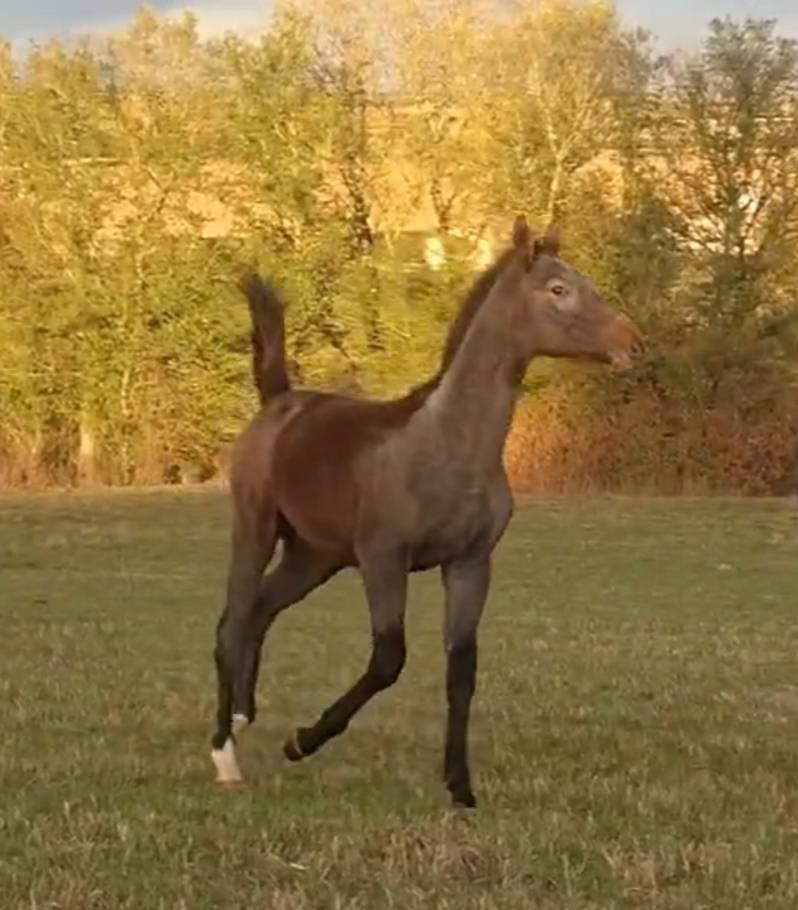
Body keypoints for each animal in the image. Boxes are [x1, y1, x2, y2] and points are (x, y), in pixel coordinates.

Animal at [210, 215, 644, 807]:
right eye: (559, 289)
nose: (631, 343)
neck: (450, 446)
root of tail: (279, 401)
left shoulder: (469, 563)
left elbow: (462, 668)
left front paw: (460, 786)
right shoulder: (384, 558)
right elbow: (389, 659)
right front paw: (302, 740)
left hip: (315, 555)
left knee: (259, 611)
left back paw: (243, 716)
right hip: (255, 528)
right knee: (230, 623)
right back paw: (224, 755)